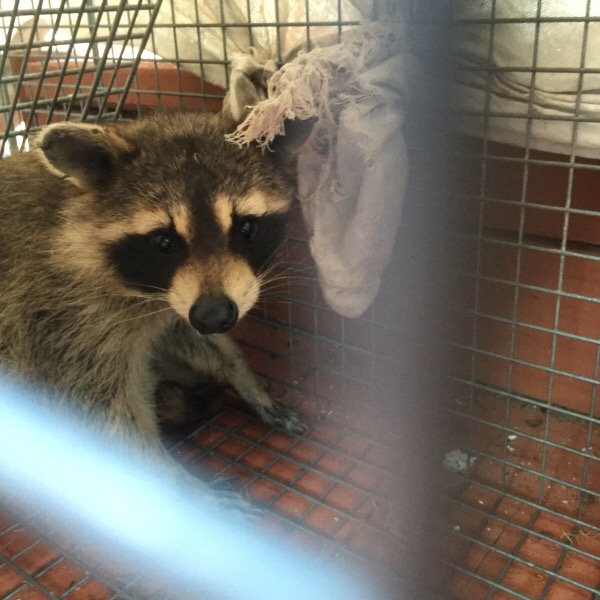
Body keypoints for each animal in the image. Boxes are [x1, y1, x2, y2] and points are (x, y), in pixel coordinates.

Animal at [0, 112, 310, 492]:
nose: (214, 317)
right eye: (163, 242)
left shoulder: (170, 304)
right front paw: (178, 485)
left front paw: (244, 378)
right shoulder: (55, 316)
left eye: (246, 228)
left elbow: (181, 335)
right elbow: (96, 412)